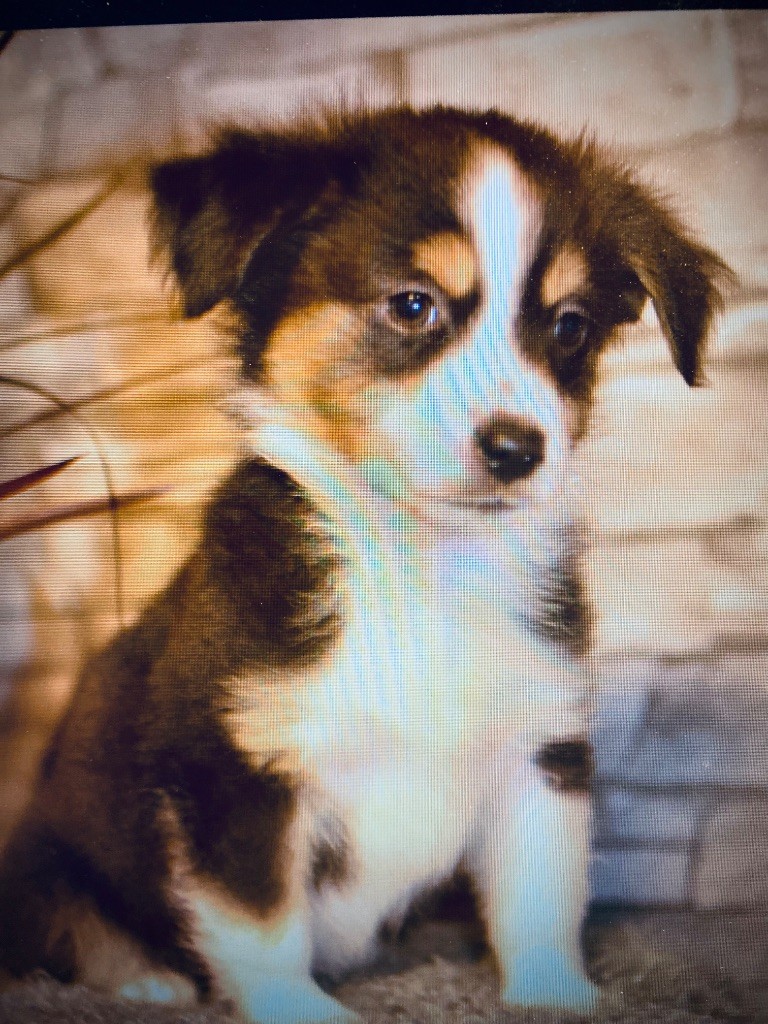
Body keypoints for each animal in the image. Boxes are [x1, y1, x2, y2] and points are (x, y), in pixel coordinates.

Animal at [0, 106, 728, 1022]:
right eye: (412, 304)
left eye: (571, 326)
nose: (517, 450)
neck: (423, 572)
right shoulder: (232, 763)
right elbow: (261, 920)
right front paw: (299, 1010)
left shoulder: (537, 745)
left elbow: (540, 894)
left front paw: (559, 997)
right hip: (43, 859)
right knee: (65, 927)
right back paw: (144, 979)